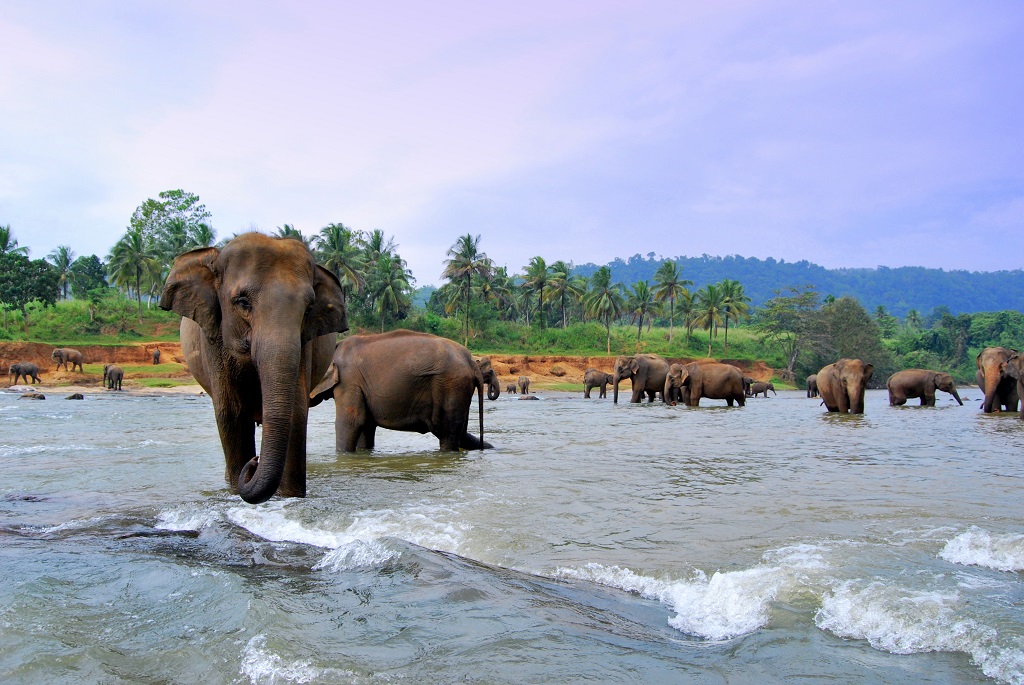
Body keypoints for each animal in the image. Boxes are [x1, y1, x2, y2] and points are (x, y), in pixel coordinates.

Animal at [159, 232, 348, 505]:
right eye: (243, 302)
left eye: (308, 309)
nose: (255, 462)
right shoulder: (212, 339)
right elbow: (231, 413)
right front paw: (236, 494)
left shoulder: (305, 345)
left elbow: (296, 412)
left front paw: (289, 498)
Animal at [309, 327, 489, 450]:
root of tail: (472, 362)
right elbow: (366, 425)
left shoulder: (349, 381)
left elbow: (351, 421)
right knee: (461, 434)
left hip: (451, 386)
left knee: (448, 435)